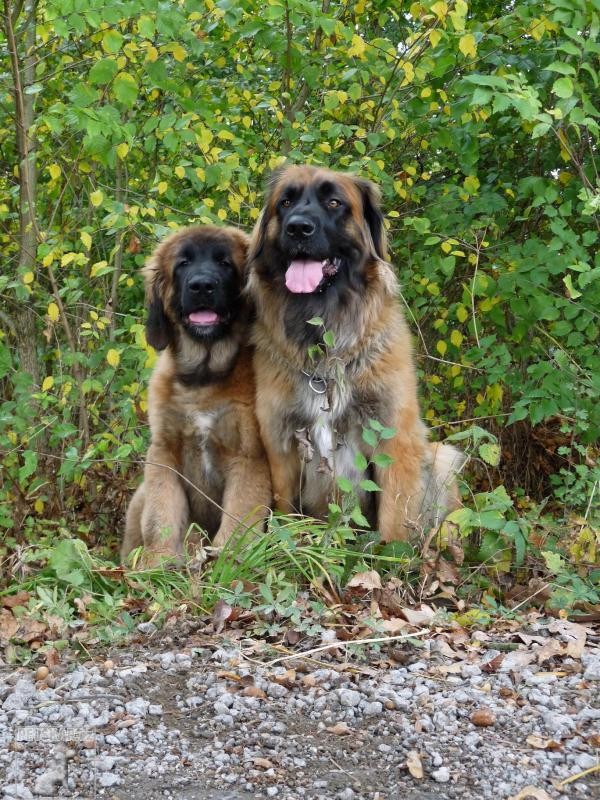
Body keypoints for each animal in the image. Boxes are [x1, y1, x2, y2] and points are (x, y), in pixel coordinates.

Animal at [120, 225, 270, 564]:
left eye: (225, 263)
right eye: (183, 263)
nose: (202, 286)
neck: (204, 377)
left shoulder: (248, 457)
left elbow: (239, 521)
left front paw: (227, 561)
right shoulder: (164, 454)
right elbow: (160, 518)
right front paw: (157, 564)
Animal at [247, 166, 464, 544]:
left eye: (334, 202)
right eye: (285, 202)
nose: (298, 228)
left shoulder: (394, 439)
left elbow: (394, 522)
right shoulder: (282, 446)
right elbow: (287, 514)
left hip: (442, 457)